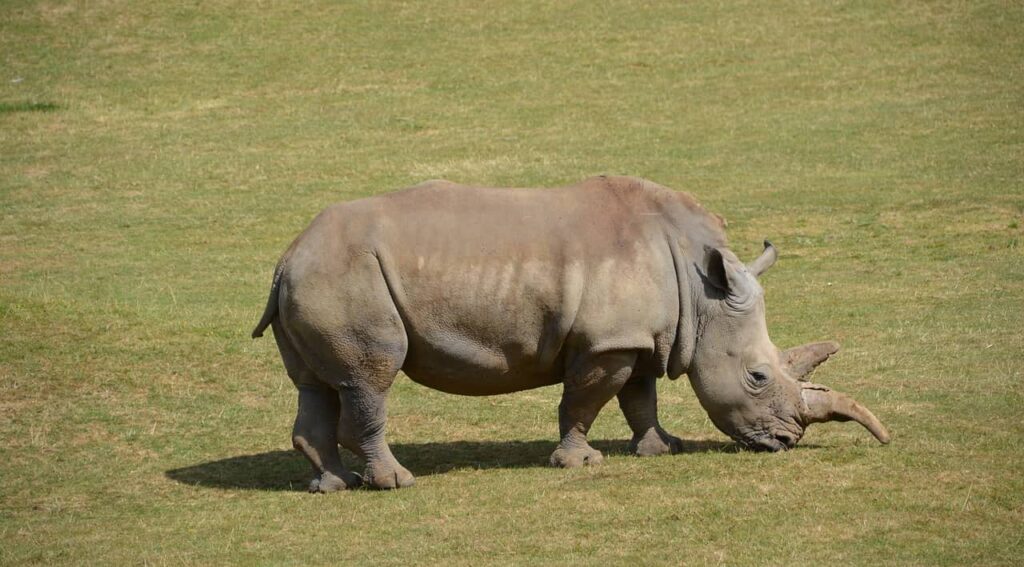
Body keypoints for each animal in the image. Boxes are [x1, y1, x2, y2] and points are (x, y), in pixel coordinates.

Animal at [249, 175, 888, 489]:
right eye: (756, 376)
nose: (787, 441)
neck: (697, 283)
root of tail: (286, 258)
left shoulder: (638, 335)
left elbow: (640, 397)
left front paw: (662, 449)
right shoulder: (607, 341)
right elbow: (587, 400)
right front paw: (581, 465)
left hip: (318, 278)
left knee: (317, 385)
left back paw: (331, 486)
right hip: (346, 277)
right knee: (369, 379)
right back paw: (397, 483)